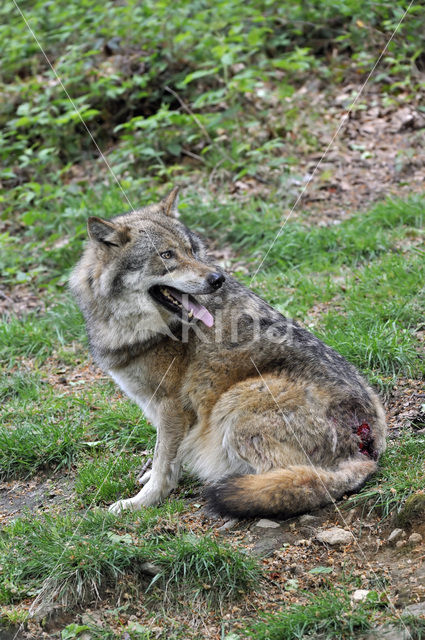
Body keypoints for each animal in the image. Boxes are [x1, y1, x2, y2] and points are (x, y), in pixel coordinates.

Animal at [70, 188, 388, 516]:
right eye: (167, 255)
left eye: (191, 250)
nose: (216, 279)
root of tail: (366, 451)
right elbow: (166, 454)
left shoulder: (172, 405)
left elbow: (163, 462)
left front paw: (142, 501)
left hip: (235, 401)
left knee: (289, 480)